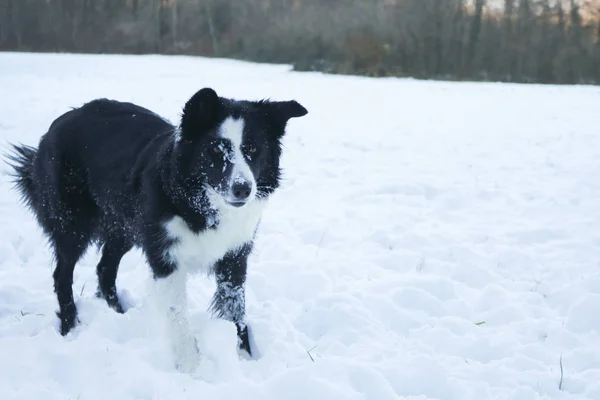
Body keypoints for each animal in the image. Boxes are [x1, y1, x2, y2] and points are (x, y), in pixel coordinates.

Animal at [5, 87, 310, 372]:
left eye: (253, 149)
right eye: (215, 149)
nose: (243, 188)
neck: (199, 202)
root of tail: (60, 122)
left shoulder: (234, 256)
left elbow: (236, 309)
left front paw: (244, 358)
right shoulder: (166, 258)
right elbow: (178, 317)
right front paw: (192, 368)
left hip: (123, 227)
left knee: (105, 268)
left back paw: (118, 313)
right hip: (73, 226)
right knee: (62, 274)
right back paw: (70, 326)